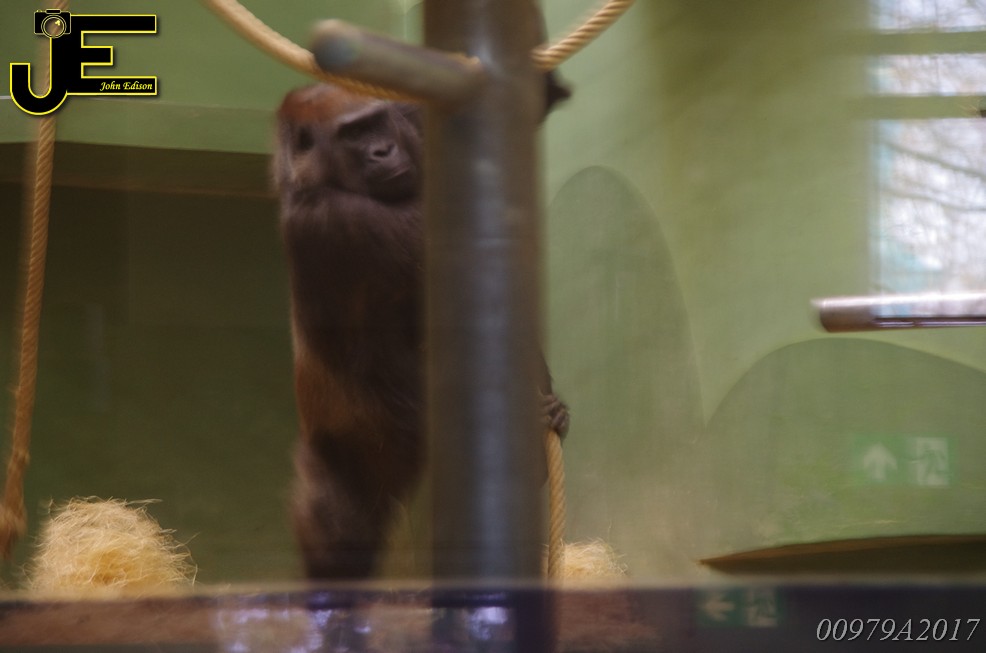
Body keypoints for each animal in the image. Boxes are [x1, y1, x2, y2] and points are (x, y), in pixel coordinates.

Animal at [275, 80, 570, 579]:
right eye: (353, 135)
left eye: (376, 123)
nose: (383, 151)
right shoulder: (324, 220)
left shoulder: (412, 119)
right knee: (337, 533)